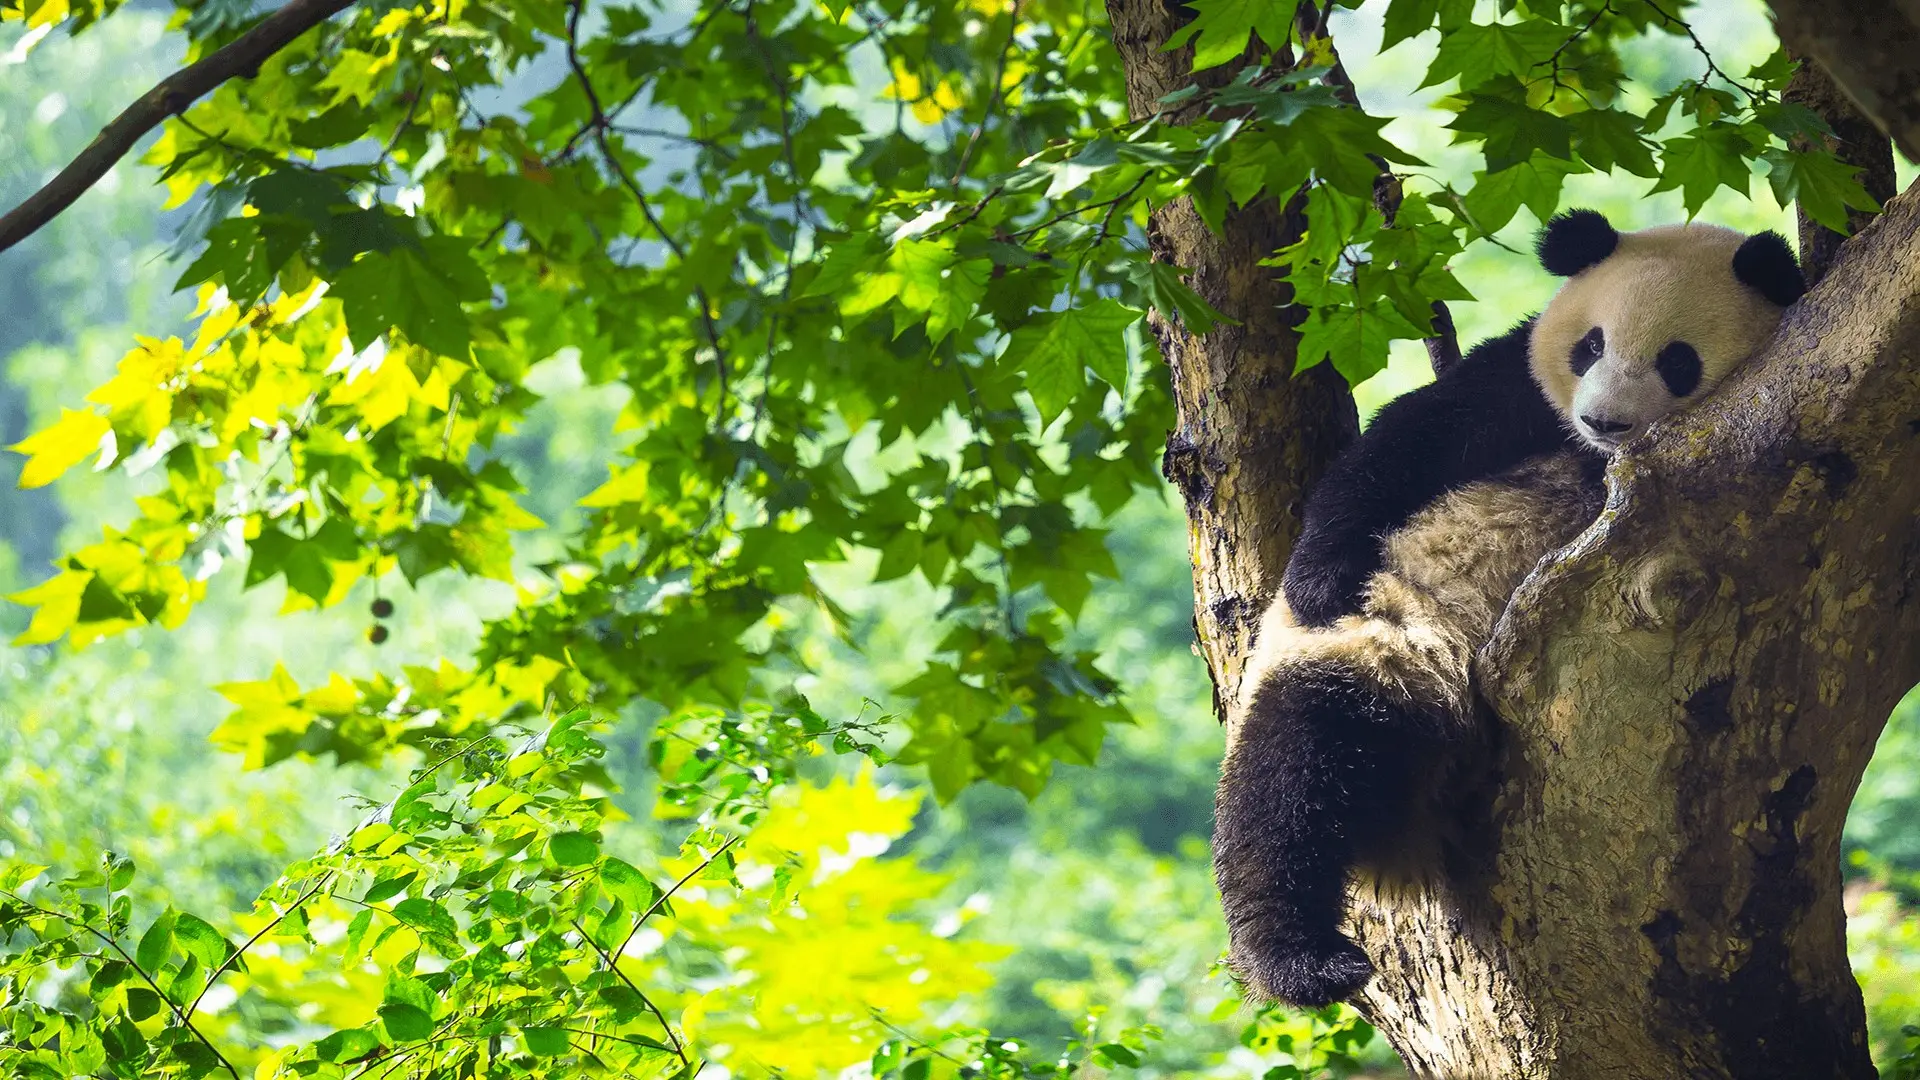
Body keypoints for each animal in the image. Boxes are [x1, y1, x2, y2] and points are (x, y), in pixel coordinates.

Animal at [1213, 212, 1812, 1006]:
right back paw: (1302, 959)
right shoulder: (1516, 392)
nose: (1606, 422)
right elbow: (1404, 446)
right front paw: (1317, 581)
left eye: (1677, 362)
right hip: (1385, 645)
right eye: (1591, 346)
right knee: (1291, 775)